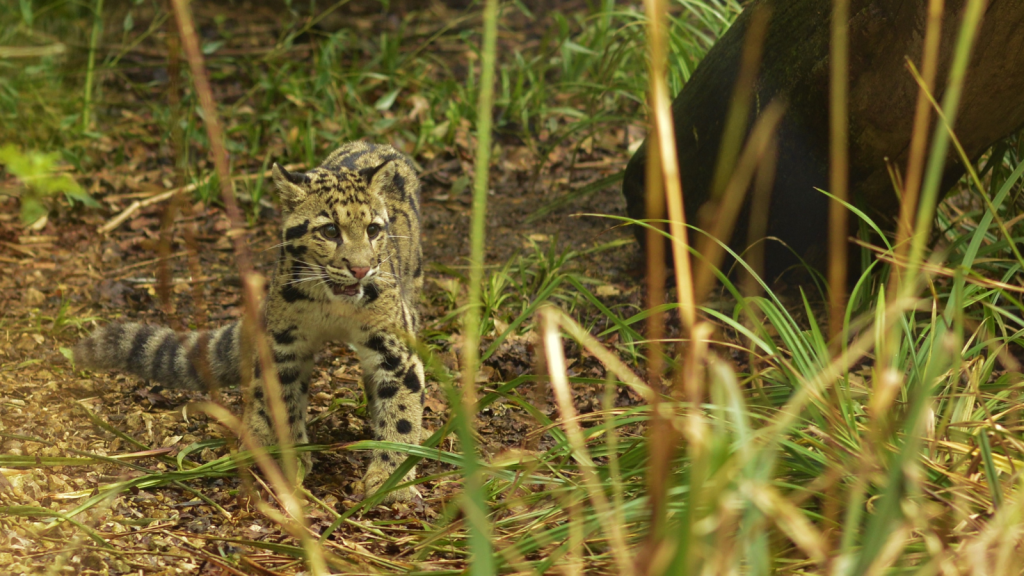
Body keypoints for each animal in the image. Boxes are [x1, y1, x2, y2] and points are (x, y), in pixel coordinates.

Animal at [73, 141, 423, 500]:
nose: (361, 268)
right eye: (329, 230)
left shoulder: (394, 347)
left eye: (373, 229)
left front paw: (392, 478)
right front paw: (290, 459)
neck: (332, 306)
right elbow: (282, 401)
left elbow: (401, 408)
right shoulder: (285, 344)